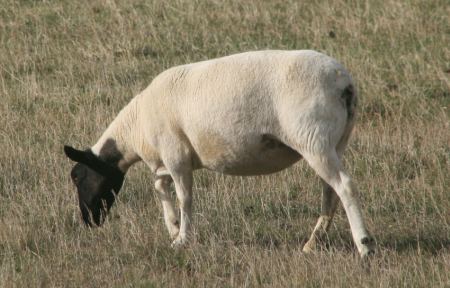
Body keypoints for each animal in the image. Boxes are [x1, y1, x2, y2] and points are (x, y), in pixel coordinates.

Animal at [61, 49, 374, 256]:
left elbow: (184, 198)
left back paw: (364, 246)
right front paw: (173, 227)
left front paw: (181, 239)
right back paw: (312, 244)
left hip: (312, 138)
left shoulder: (176, 155)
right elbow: (160, 187)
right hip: (333, 142)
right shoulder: (166, 159)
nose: (88, 222)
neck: (136, 129)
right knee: (330, 192)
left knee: (344, 186)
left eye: (77, 176)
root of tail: (345, 84)